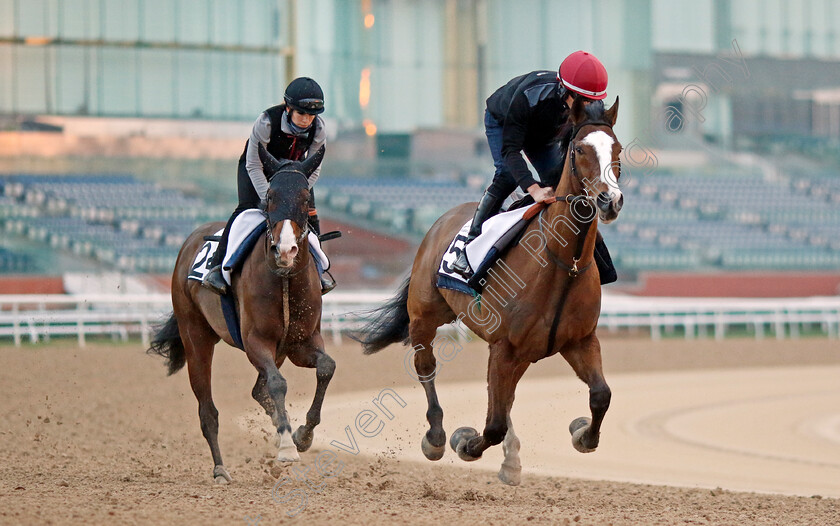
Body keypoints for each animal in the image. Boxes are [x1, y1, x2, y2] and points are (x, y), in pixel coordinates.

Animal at [149, 145, 336, 486]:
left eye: (306, 197)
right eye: (271, 195)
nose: (285, 250)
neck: (284, 278)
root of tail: (192, 239)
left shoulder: (300, 343)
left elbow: (326, 368)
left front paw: (302, 435)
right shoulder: (255, 342)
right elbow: (277, 384)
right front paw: (287, 445)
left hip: (278, 350)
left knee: (258, 390)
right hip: (195, 336)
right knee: (208, 410)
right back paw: (221, 469)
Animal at [354, 97, 624, 488]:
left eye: (617, 149)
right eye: (579, 149)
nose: (609, 200)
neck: (563, 262)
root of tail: (442, 220)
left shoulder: (579, 341)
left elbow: (601, 395)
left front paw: (582, 433)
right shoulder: (505, 347)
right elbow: (493, 425)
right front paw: (465, 442)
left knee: (505, 397)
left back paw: (510, 459)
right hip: (425, 315)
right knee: (426, 367)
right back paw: (436, 437)